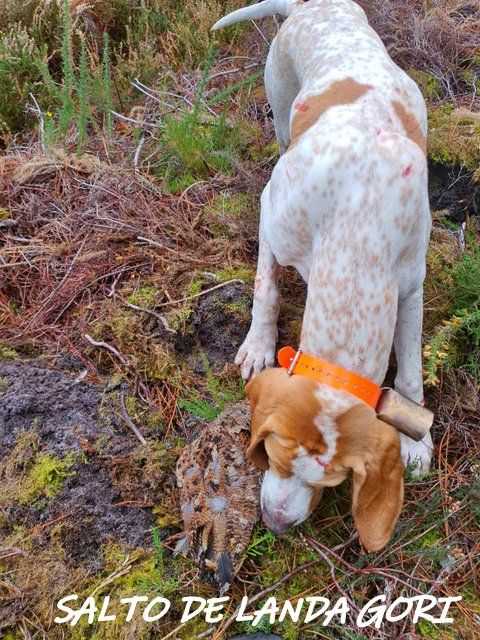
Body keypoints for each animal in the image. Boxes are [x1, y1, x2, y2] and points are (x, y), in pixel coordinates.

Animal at [212, 0, 434, 552]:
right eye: (271, 454)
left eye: (333, 483)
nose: (275, 524)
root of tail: (315, 5)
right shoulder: (272, 212)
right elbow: (266, 289)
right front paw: (259, 344)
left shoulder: (410, 283)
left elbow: (411, 368)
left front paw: (414, 438)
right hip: (278, 105)